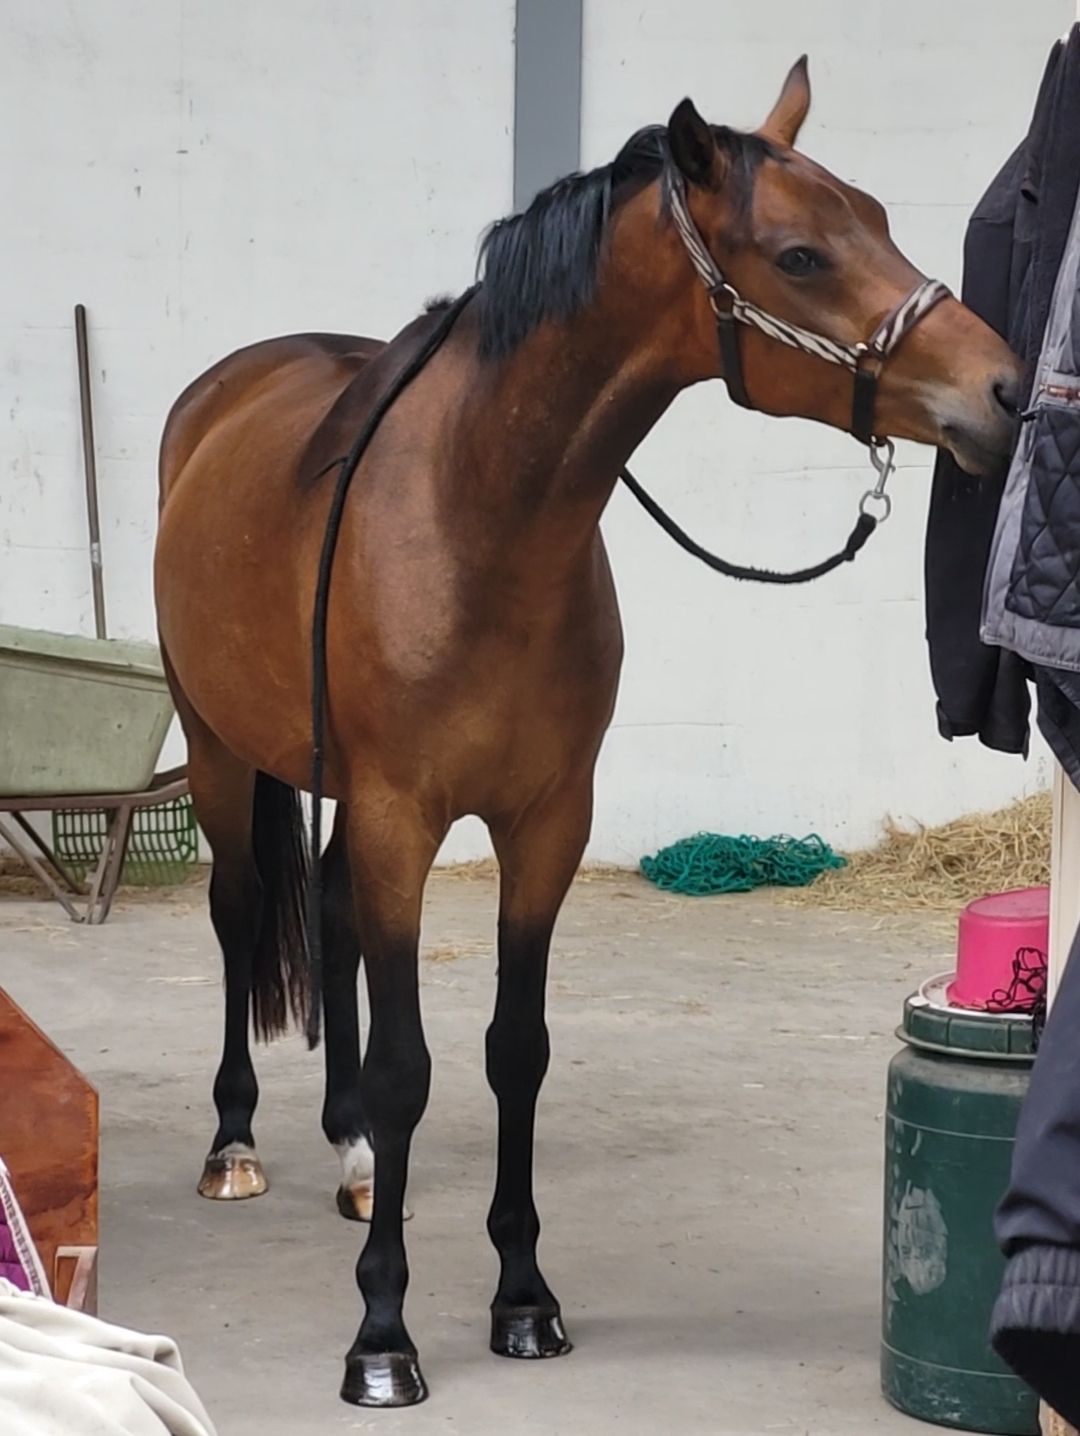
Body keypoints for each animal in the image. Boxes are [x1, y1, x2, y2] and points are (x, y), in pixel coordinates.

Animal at [154, 58, 1021, 1407]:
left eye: (878, 216)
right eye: (801, 255)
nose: (1007, 387)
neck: (479, 512)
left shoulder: (547, 818)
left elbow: (517, 1050)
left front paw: (522, 1296)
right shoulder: (405, 812)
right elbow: (410, 1065)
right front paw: (384, 1334)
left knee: (335, 919)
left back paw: (351, 1155)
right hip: (218, 751)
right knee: (245, 912)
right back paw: (236, 1143)